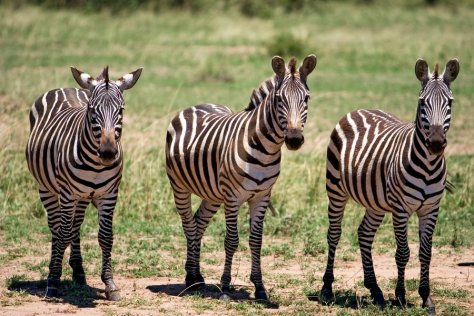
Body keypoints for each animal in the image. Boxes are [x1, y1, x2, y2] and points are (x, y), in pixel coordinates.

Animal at [25, 66, 142, 298]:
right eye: (92, 110)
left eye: (121, 110)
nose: (108, 153)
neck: (96, 165)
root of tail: (64, 87)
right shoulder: (67, 194)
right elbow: (62, 234)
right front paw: (53, 281)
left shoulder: (109, 194)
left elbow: (105, 237)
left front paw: (109, 283)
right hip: (47, 189)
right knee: (56, 227)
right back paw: (54, 271)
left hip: (83, 196)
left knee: (75, 226)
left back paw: (78, 272)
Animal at [165, 55, 316, 302]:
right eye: (279, 99)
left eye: (306, 98)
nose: (294, 139)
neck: (265, 149)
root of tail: (196, 105)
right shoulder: (232, 197)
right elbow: (232, 240)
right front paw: (226, 287)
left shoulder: (262, 196)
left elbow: (256, 241)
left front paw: (260, 287)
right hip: (179, 186)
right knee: (188, 225)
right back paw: (191, 278)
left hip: (212, 194)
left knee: (198, 223)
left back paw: (197, 276)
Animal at [318, 57, 460, 314]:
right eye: (422, 102)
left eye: (450, 102)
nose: (435, 143)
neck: (428, 165)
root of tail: (358, 109)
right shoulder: (401, 208)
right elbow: (403, 252)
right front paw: (401, 296)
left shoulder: (431, 208)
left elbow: (426, 253)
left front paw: (426, 298)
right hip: (335, 189)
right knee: (333, 234)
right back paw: (327, 288)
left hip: (375, 202)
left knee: (364, 234)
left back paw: (375, 290)